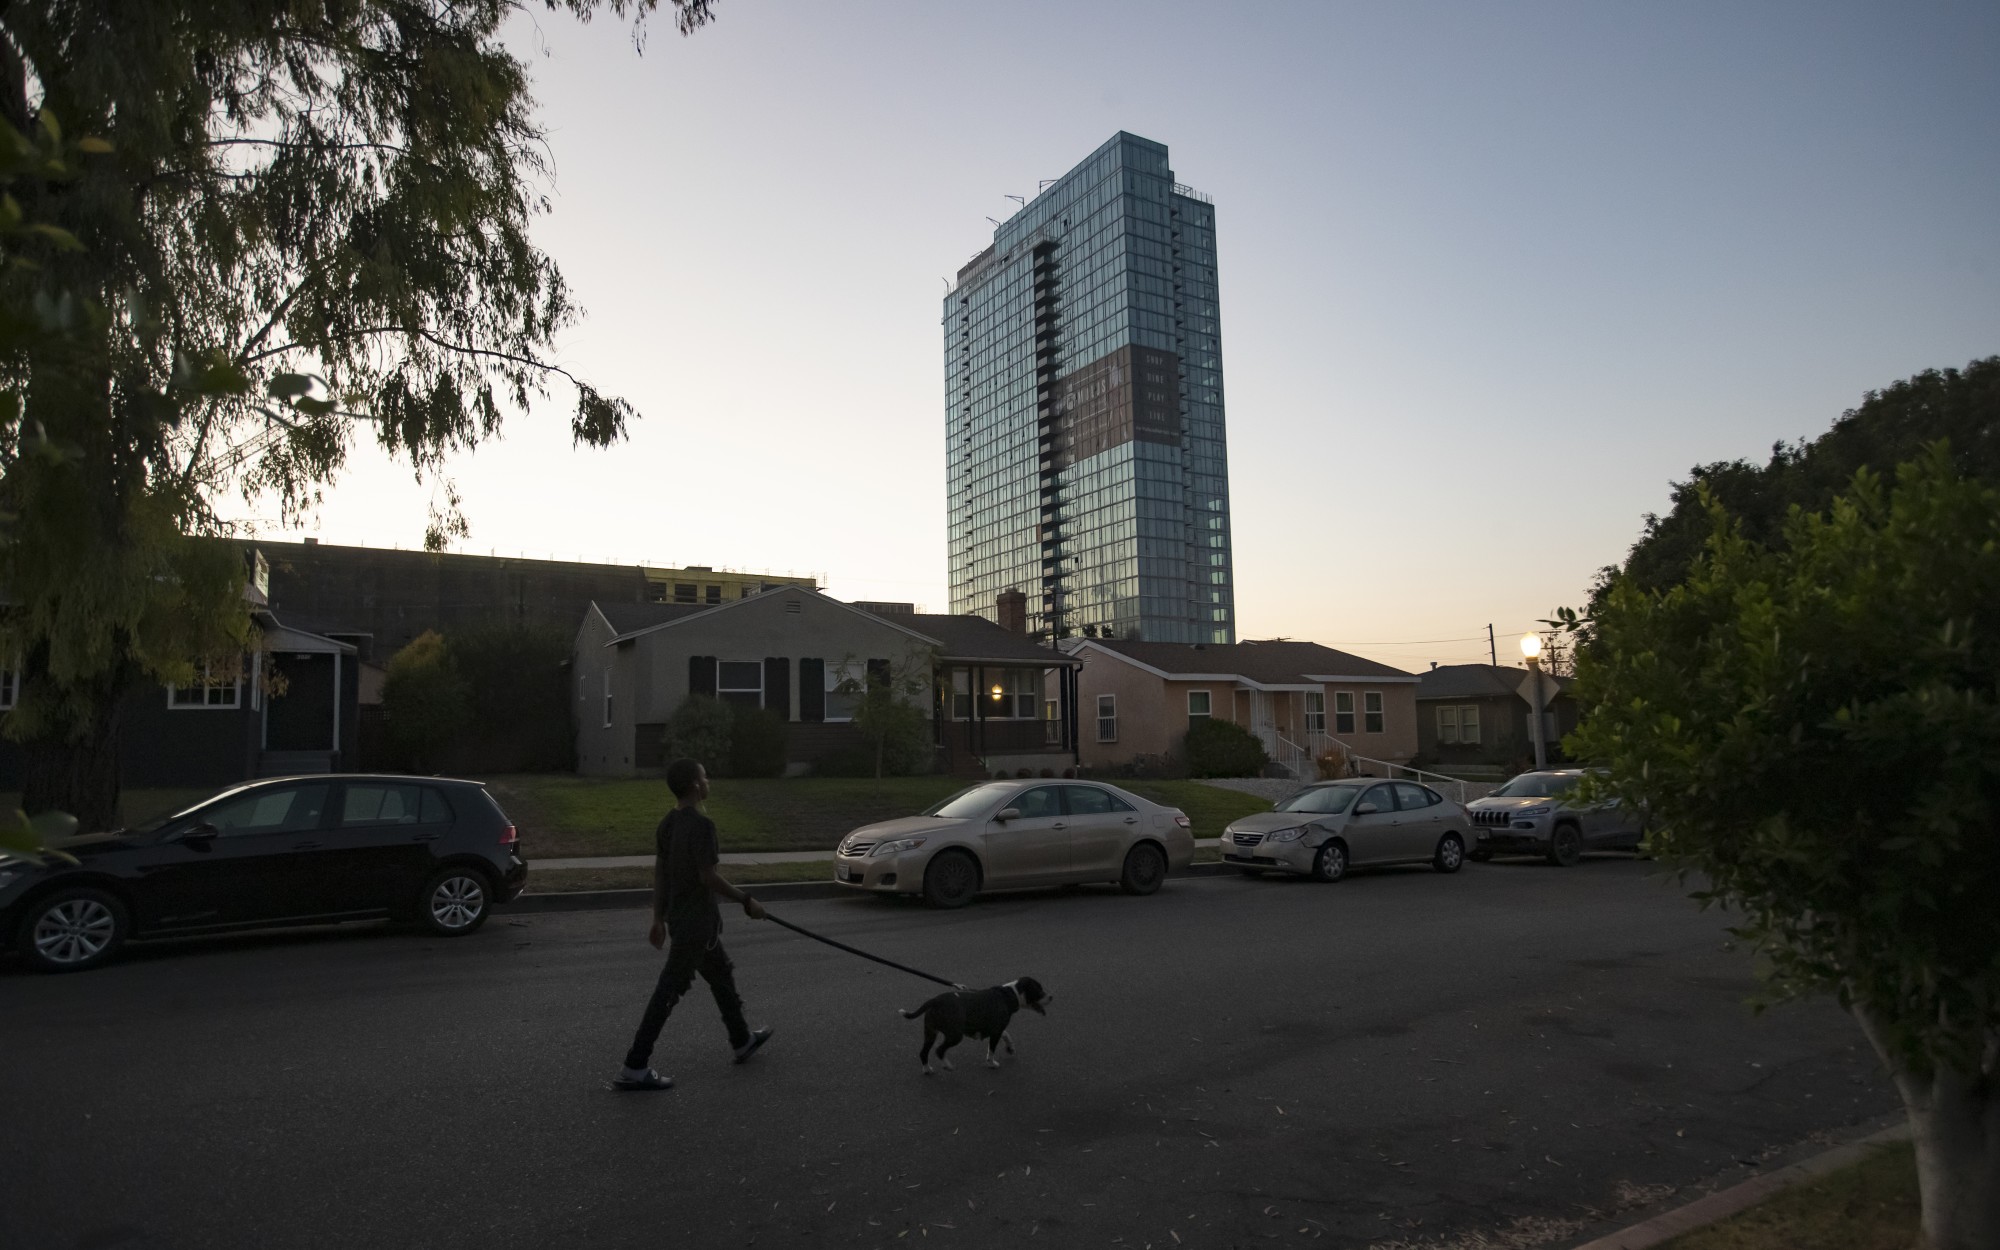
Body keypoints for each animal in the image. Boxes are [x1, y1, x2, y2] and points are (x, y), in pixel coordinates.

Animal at [904, 976, 1056, 1072]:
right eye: (1039, 990)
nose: (1051, 997)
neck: (1009, 994)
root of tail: (935, 1001)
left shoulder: (996, 1029)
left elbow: (1006, 1035)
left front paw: (1010, 1047)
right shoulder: (996, 1032)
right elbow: (992, 1050)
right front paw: (992, 1064)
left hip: (930, 1033)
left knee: (923, 1053)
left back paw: (927, 1070)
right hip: (955, 1035)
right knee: (939, 1050)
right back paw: (947, 1066)